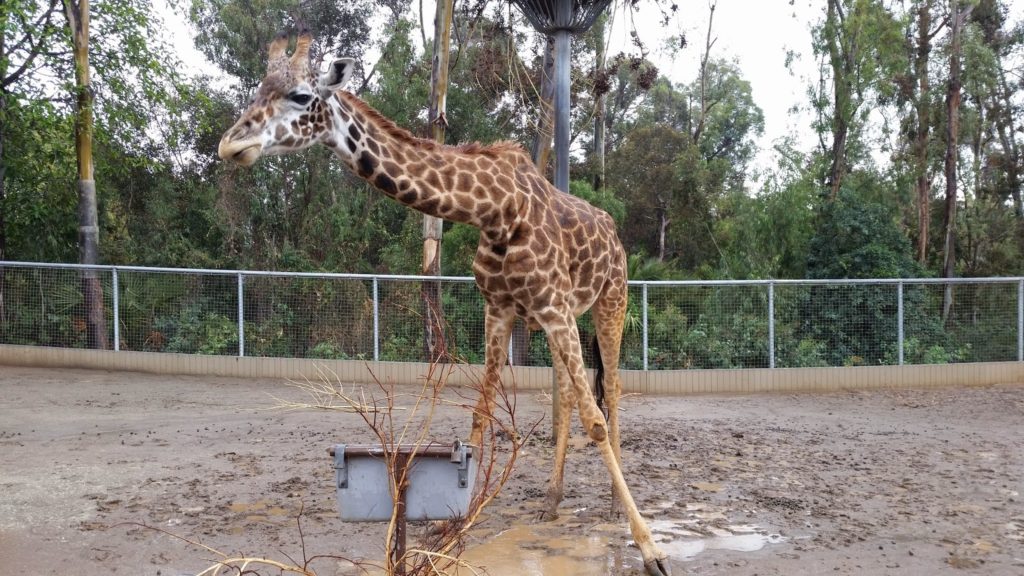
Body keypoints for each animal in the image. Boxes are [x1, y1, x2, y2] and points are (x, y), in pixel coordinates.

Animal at [218, 32, 670, 576]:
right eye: (258, 90)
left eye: (301, 96)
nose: (230, 144)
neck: (495, 210)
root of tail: (615, 233)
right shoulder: (502, 307)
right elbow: (481, 411)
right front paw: (457, 521)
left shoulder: (551, 307)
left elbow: (596, 421)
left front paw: (649, 546)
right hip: (559, 315)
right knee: (566, 393)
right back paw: (552, 498)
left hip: (610, 300)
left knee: (614, 390)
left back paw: (612, 503)